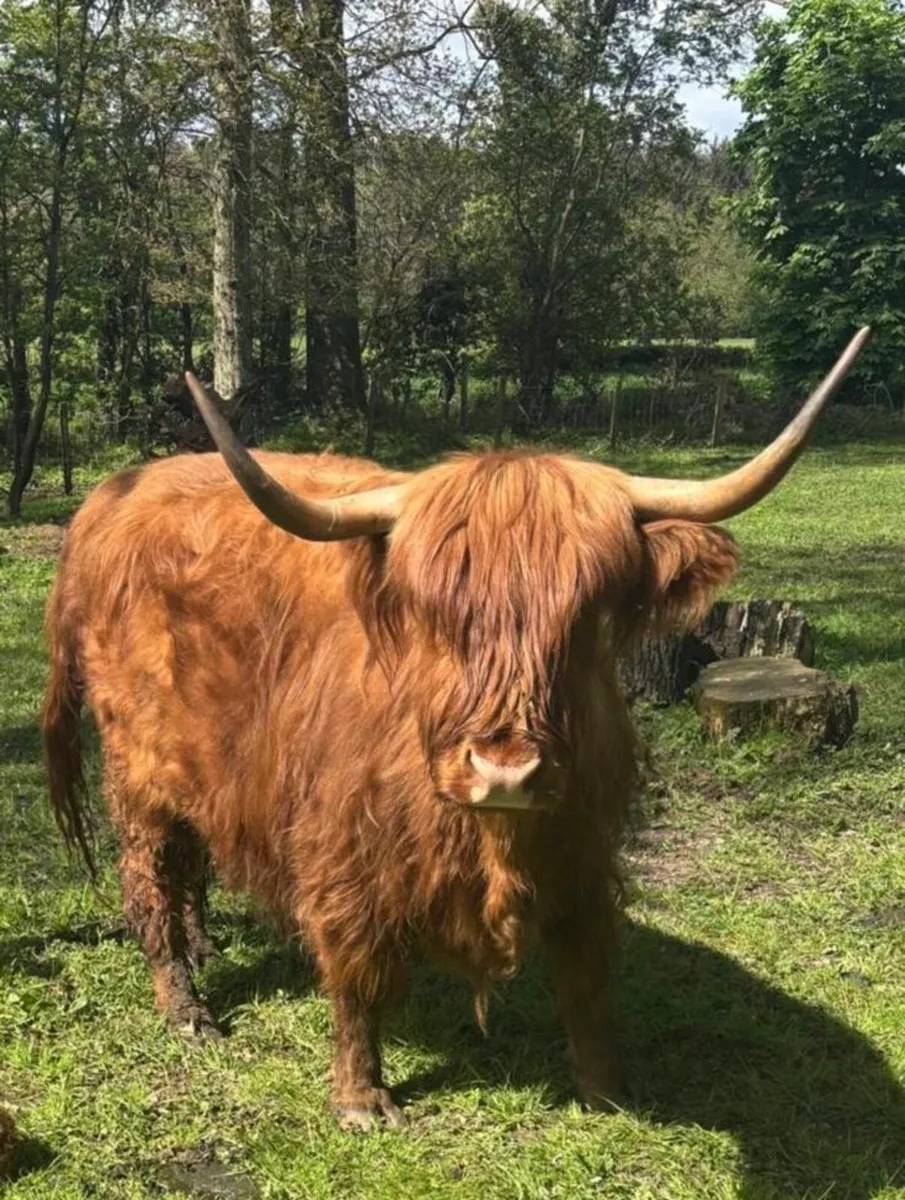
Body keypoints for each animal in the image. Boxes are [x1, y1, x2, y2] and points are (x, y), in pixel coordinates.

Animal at [42, 328, 870, 1130]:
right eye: (433, 613)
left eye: (586, 615)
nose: (504, 770)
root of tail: (116, 495)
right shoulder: (342, 853)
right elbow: (356, 975)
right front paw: (360, 1097)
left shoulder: (583, 850)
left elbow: (585, 971)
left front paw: (603, 1085)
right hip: (139, 768)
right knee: (150, 874)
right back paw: (187, 1006)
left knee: (188, 860)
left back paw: (204, 947)